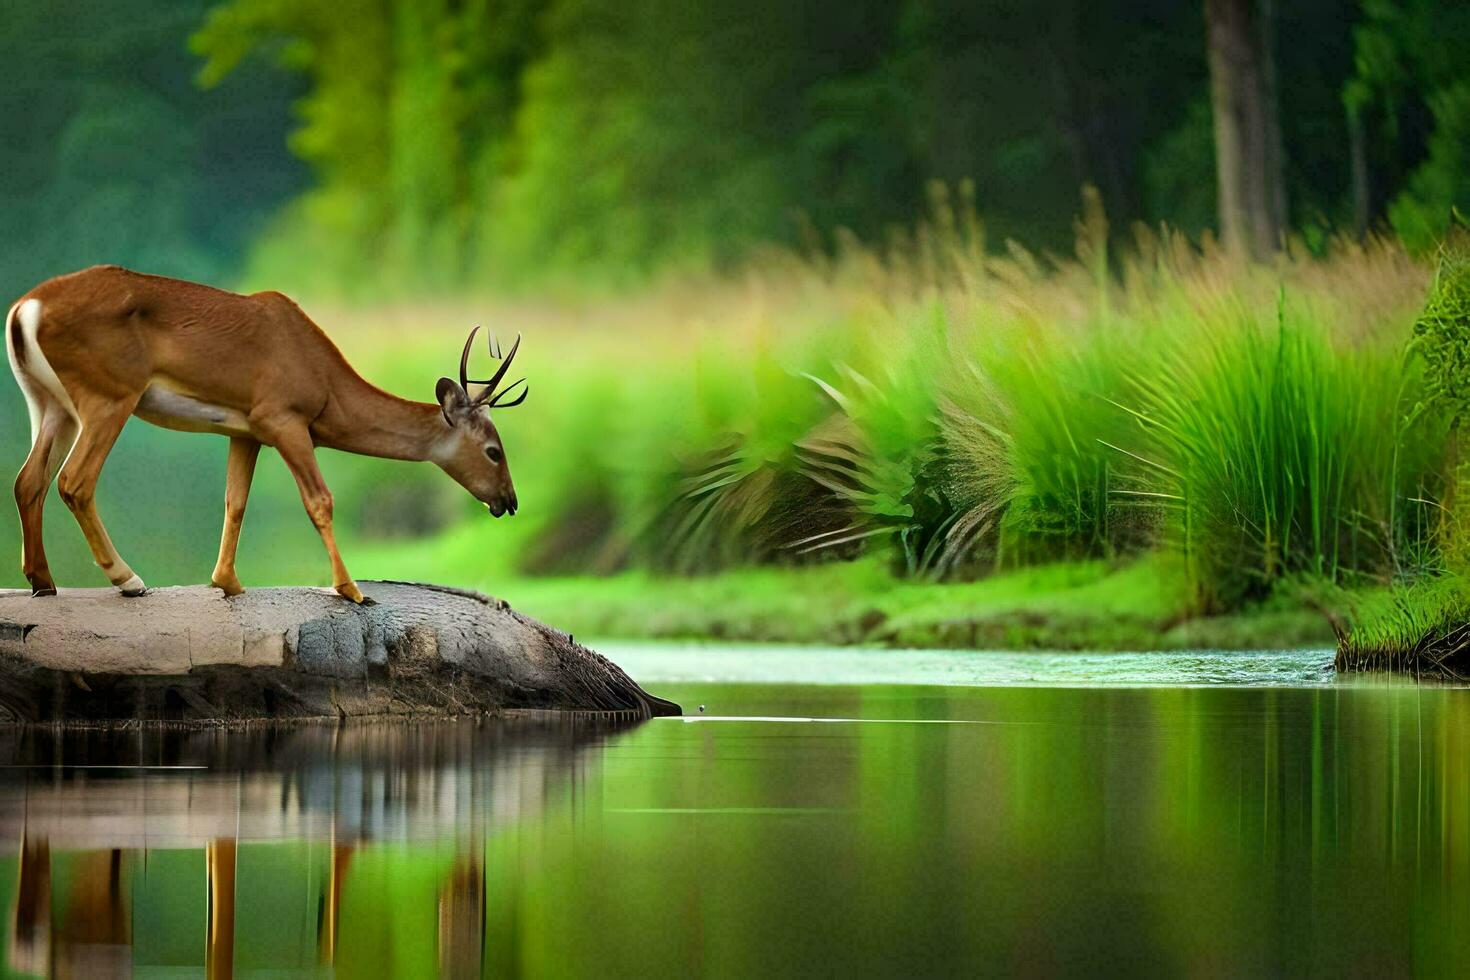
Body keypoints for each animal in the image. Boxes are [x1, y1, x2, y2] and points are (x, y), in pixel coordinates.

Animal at [0, 268, 529, 605]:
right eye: (493, 450)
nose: (509, 501)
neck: (326, 385)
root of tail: (25, 308)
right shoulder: (283, 417)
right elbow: (320, 500)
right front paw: (353, 591)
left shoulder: (245, 429)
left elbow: (235, 501)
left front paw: (227, 582)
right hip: (109, 394)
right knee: (74, 481)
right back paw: (128, 579)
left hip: (49, 403)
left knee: (29, 481)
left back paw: (42, 580)